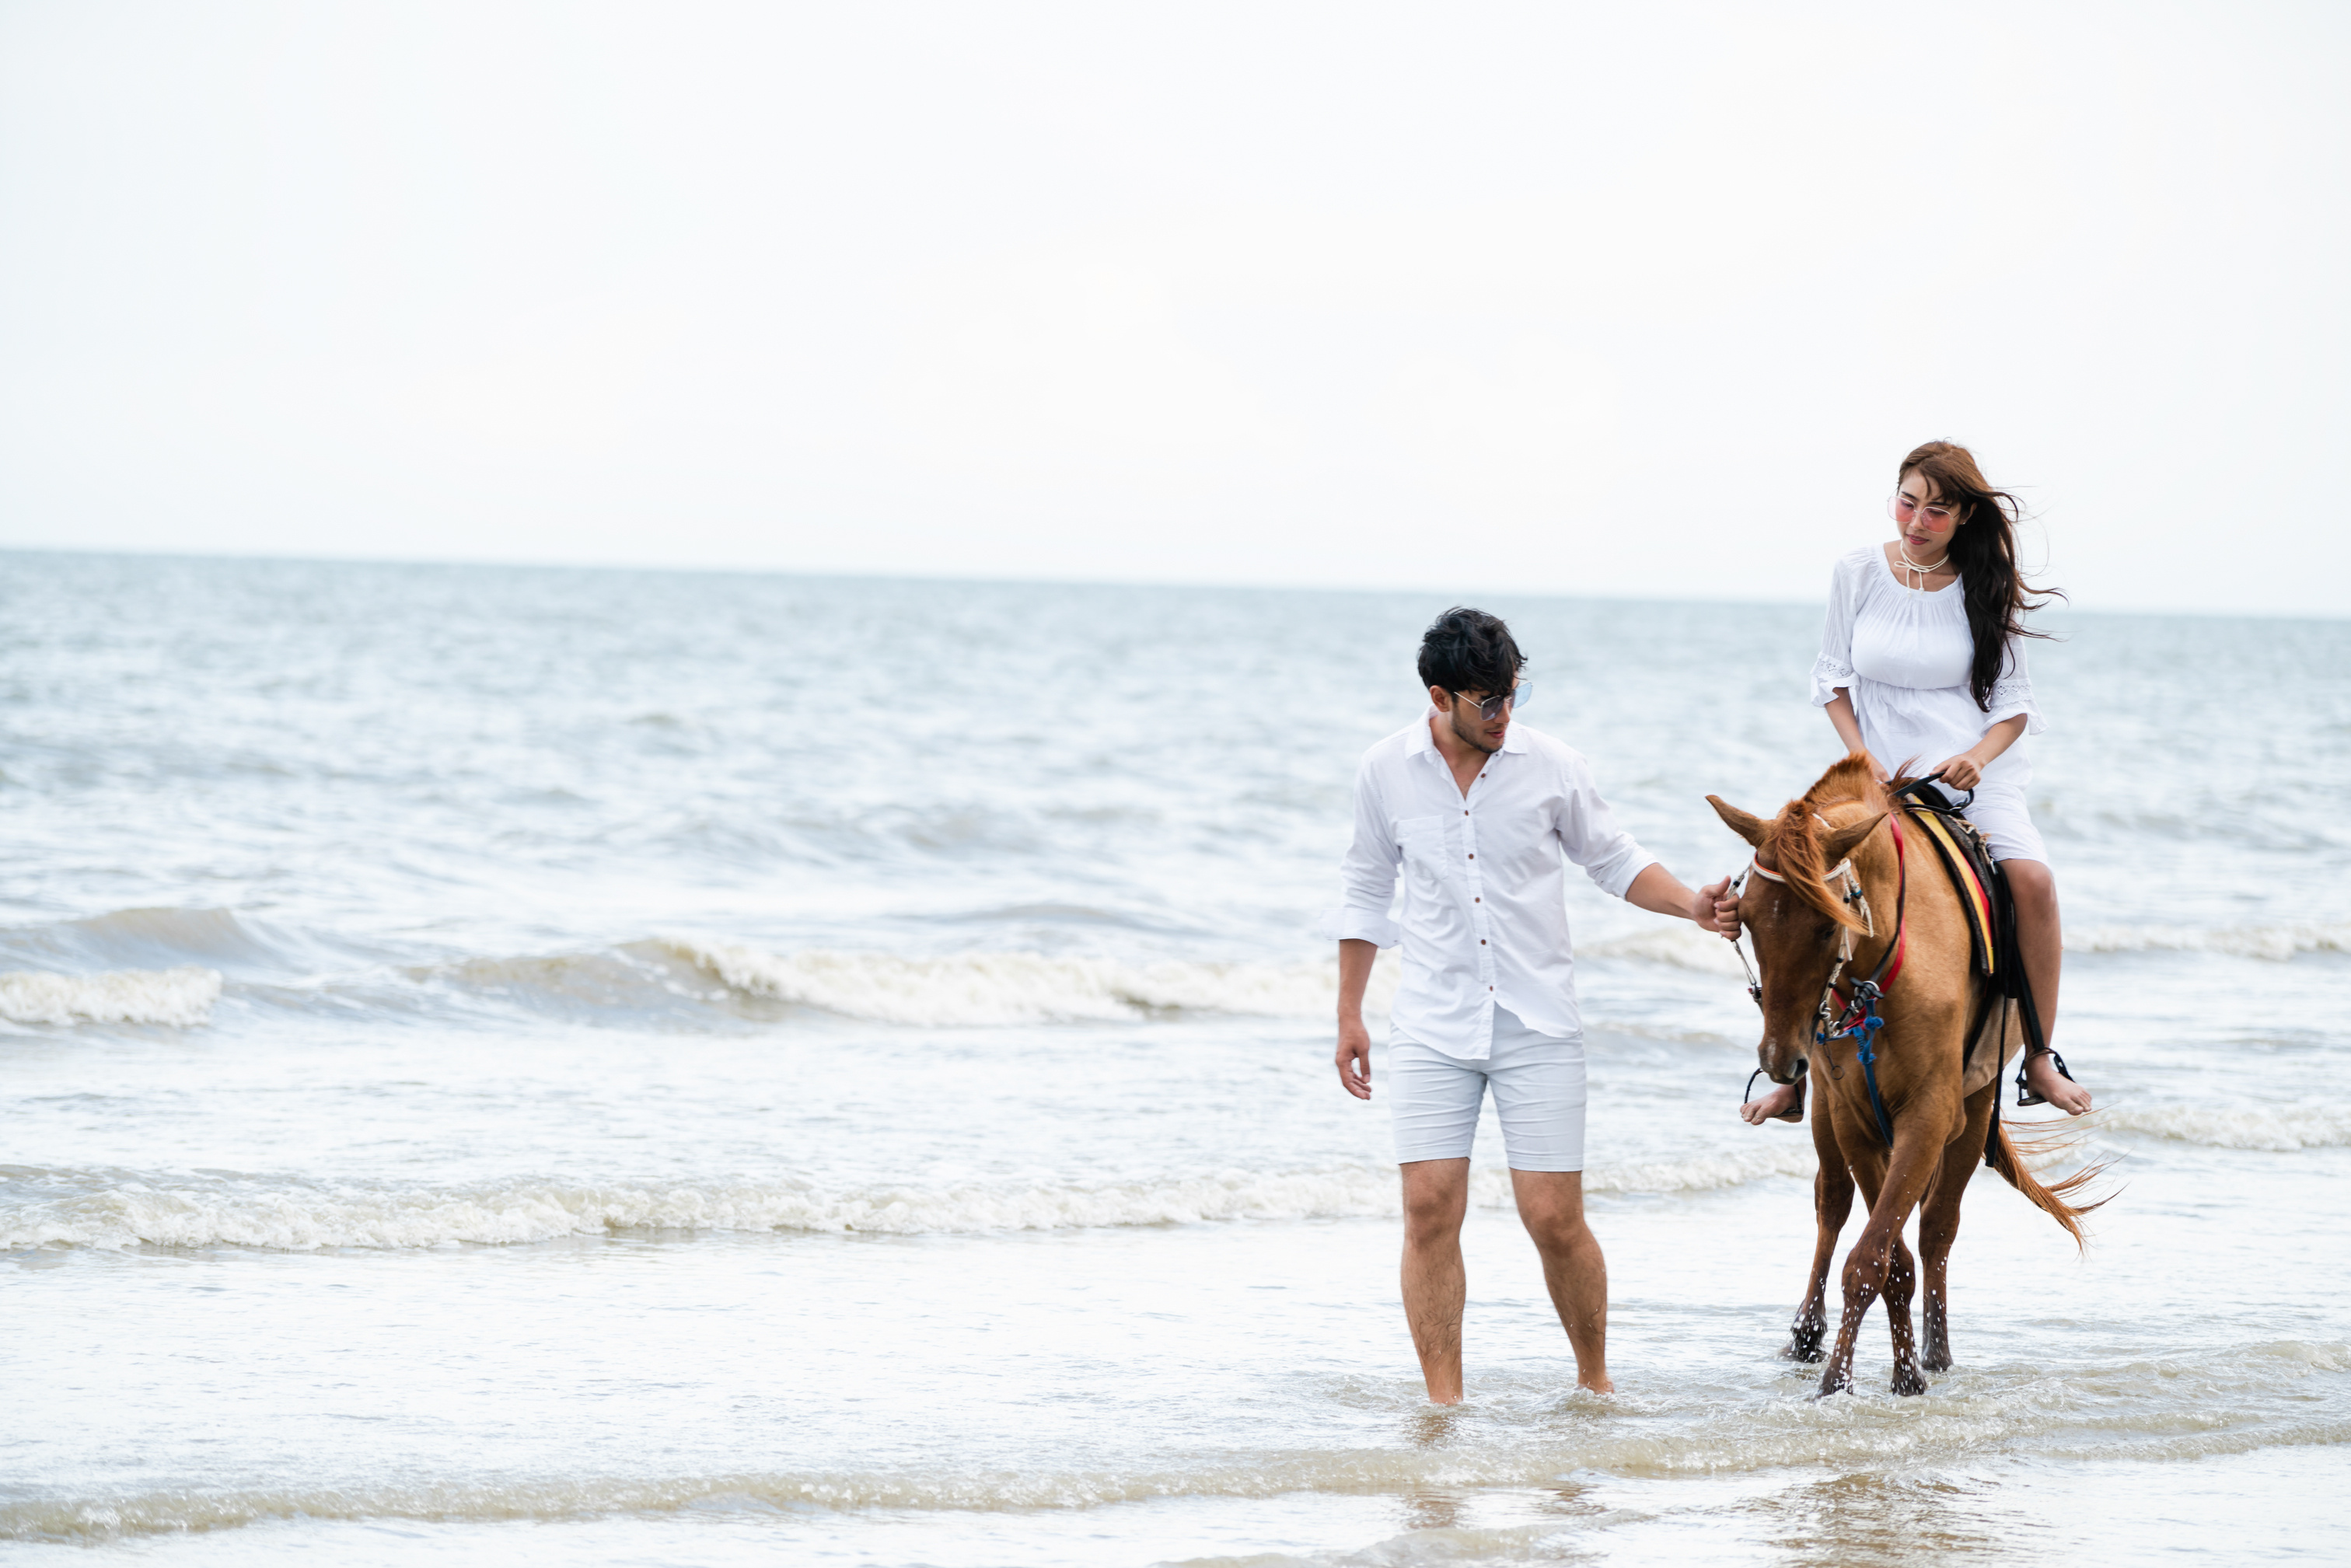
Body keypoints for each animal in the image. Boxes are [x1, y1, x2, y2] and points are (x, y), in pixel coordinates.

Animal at [1708, 752, 2105, 1397]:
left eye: (1828, 925)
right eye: (1743, 919)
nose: (1778, 1057)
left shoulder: (1929, 1113)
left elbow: (1882, 1252)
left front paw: (1863, 1380)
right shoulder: (1856, 1117)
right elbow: (1887, 1256)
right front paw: (1886, 1374)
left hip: (1973, 1109)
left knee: (1937, 1226)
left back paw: (1937, 1350)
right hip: (1826, 1115)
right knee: (1832, 1200)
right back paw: (1808, 1332)